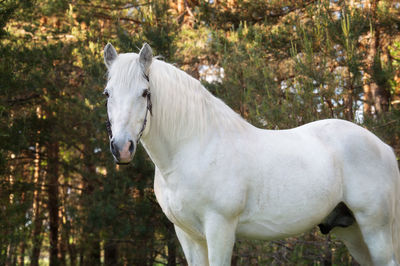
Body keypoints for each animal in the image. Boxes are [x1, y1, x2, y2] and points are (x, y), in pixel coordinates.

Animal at [102, 42, 400, 264]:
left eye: (145, 92)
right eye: (107, 93)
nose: (122, 148)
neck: (194, 146)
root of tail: (383, 147)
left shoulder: (220, 228)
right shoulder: (188, 235)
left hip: (375, 228)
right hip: (352, 232)